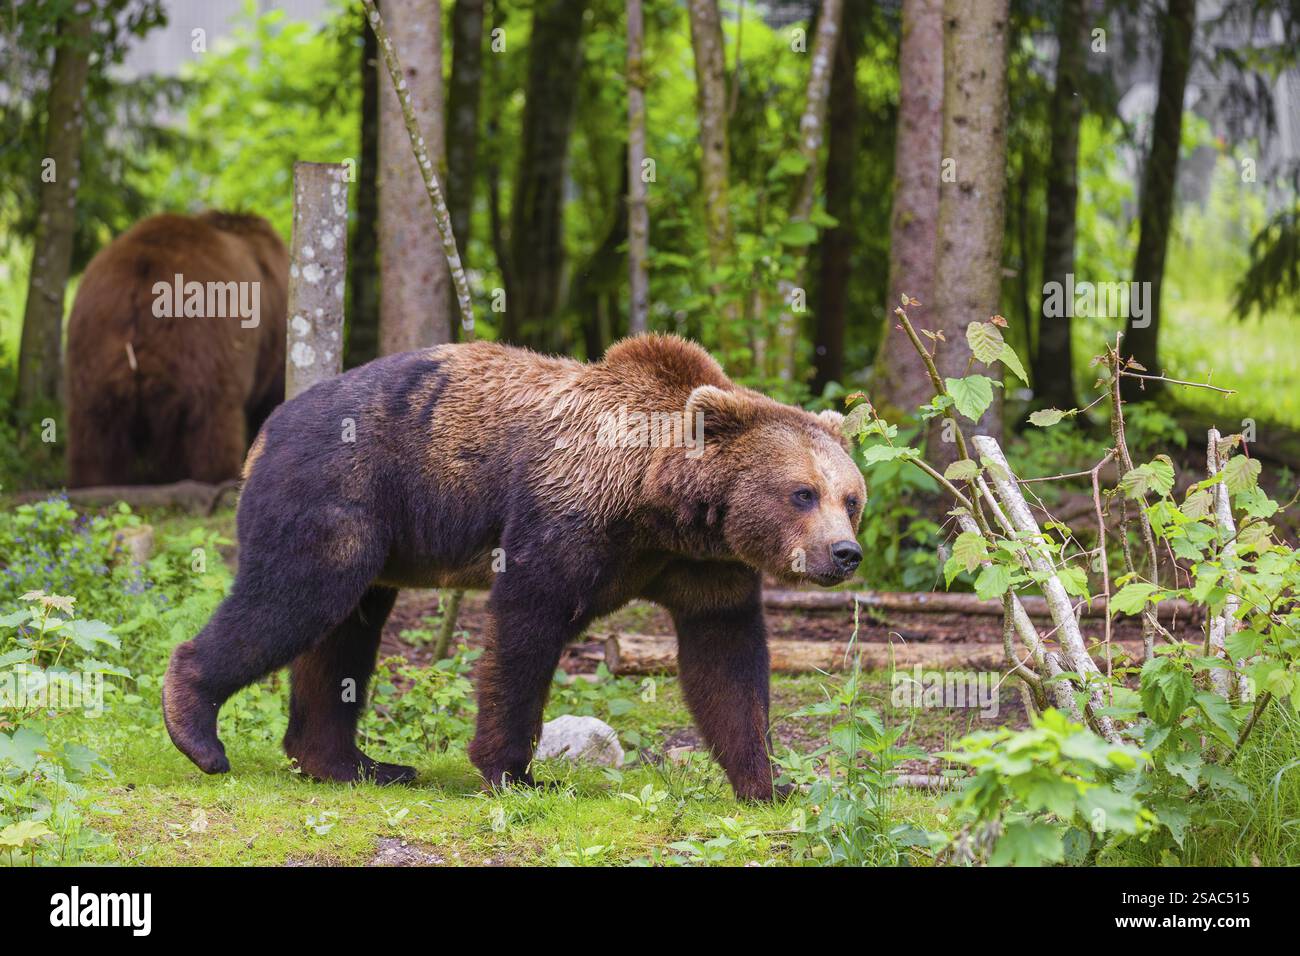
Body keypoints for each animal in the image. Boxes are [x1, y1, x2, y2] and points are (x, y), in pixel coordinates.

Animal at [65, 211, 289, 487]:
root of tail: (140, 277)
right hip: (203, 347)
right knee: (211, 422)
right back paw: (217, 475)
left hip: (94, 346)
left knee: (95, 434)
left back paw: (95, 481)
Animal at [162, 334, 866, 800]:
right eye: (802, 492)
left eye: (850, 497)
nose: (845, 552)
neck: (657, 504)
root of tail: (267, 430)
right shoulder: (564, 516)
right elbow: (525, 627)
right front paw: (517, 772)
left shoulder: (703, 566)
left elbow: (727, 661)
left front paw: (769, 783)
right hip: (341, 492)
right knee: (297, 597)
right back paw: (196, 727)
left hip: (381, 538)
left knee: (344, 633)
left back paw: (356, 763)